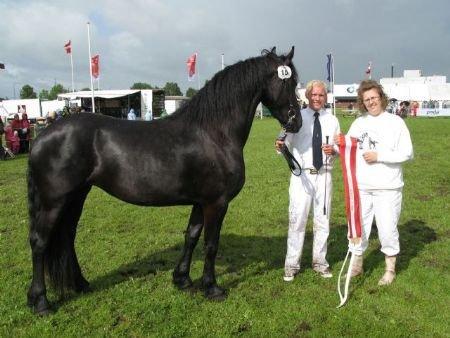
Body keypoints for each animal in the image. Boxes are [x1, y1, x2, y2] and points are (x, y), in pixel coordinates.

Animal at [26, 46, 300, 314]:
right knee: (40, 242)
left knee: (67, 237)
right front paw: (212, 288)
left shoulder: (200, 202)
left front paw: (182, 279)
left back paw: (81, 284)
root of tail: (40, 138)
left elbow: (192, 236)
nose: (296, 122)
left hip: (77, 197)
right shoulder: (216, 203)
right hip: (54, 202)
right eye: (290, 82)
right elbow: (211, 244)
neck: (214, 133)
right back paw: (40, 302)